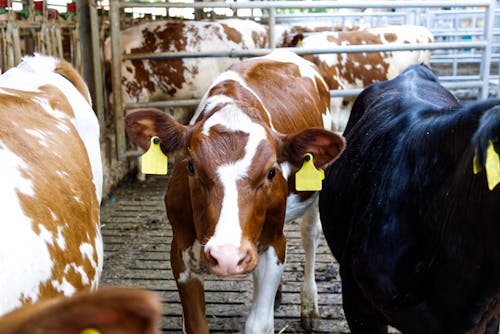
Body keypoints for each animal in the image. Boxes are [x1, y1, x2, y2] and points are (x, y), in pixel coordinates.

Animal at [125, 50, 346, 334]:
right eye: (190, 166)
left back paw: (309, 305)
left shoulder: (274, 244)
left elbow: (258, 323)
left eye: (271, 172)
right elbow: (195, 323)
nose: (227, 257)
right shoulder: (180, 251)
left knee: (310, 235)